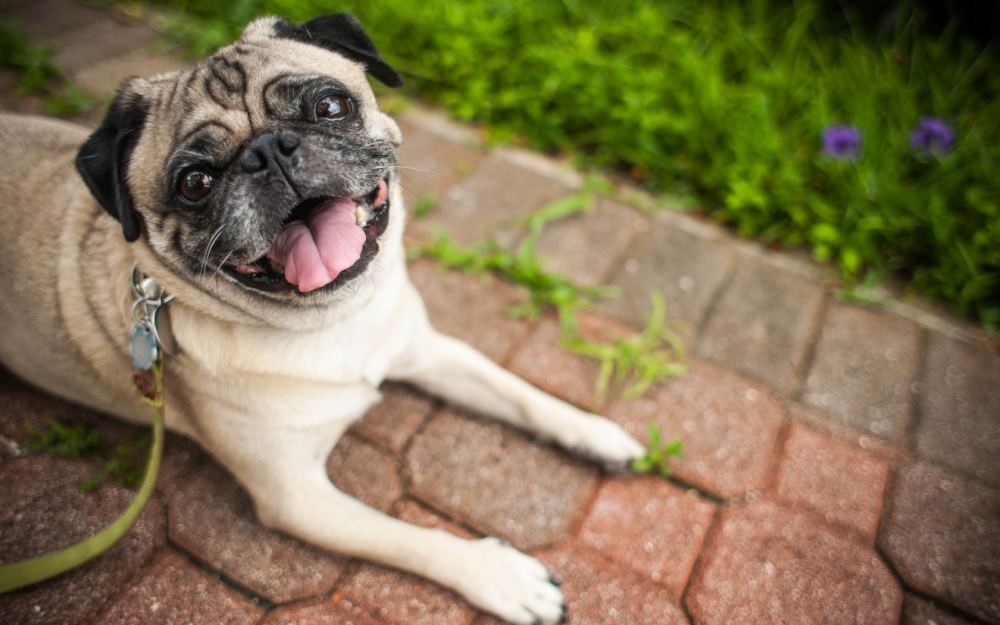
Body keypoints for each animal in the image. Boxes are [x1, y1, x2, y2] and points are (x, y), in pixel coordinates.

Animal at [0, 14, 640, 624]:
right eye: (195, 184)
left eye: (330, 107)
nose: (267, 152)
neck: (330, 321)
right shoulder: (297, 497)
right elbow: (411, 539)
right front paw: (499, 577)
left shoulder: (426, 350)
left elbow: (522, 394)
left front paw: (594, 431)